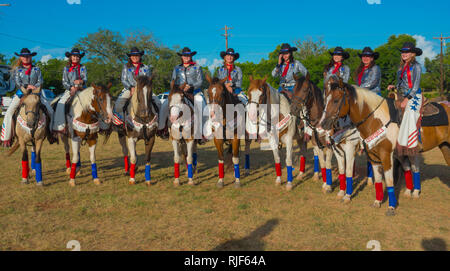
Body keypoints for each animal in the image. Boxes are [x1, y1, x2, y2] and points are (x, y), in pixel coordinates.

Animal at [320, 79, 450, 217]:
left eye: (336, 100)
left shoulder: (384, 155)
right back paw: (412, 192)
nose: (323, 124)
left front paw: (391, 207)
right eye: (325, 99)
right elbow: (377, 179)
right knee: (412, 167)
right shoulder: (372, 156)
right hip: (442, 147)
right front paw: (377, 202)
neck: (376, 120)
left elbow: (388, 180)